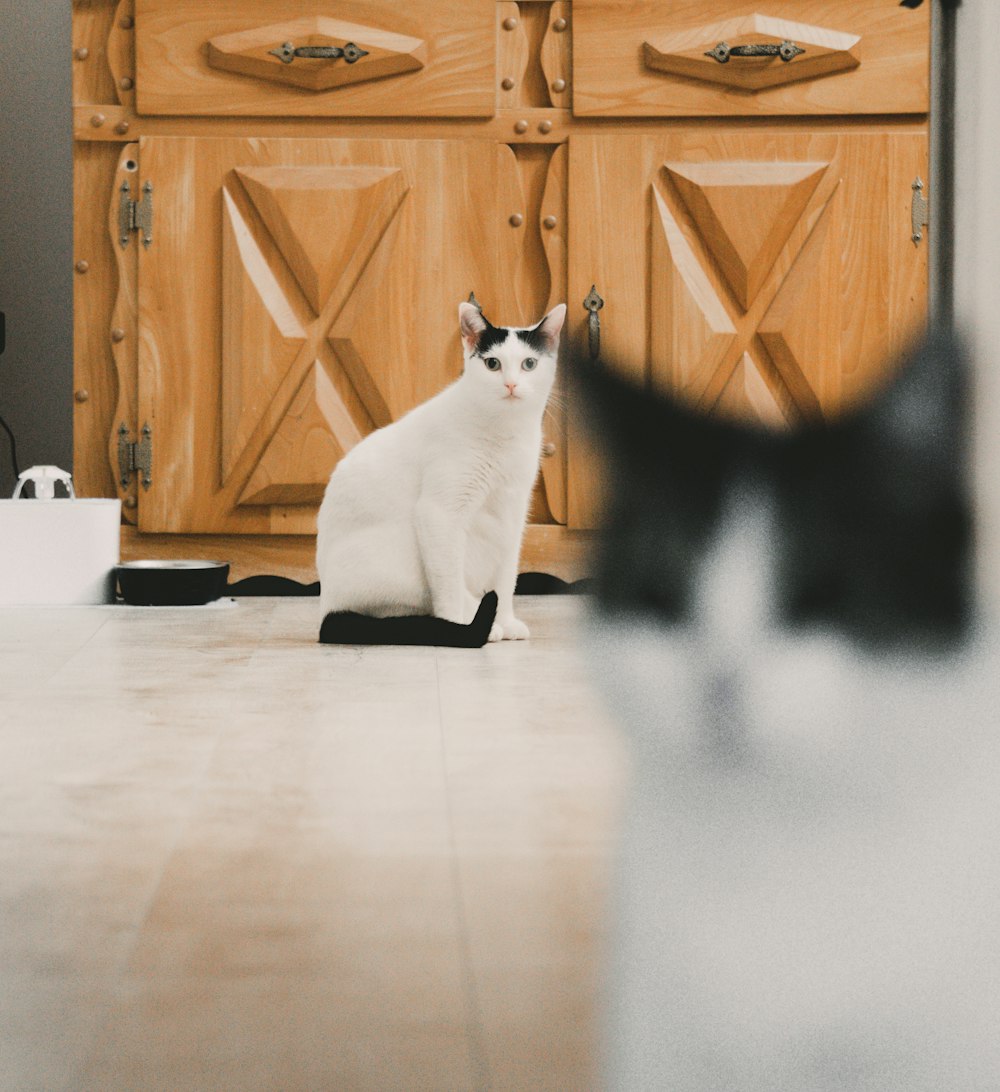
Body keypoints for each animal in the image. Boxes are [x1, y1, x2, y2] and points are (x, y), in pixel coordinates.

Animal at [316, 301, 567, 637]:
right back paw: (475, 622)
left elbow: (506, 580)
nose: (511, 384)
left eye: (529, 364)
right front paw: (459, 624)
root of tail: (326, 605)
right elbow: (449, 586)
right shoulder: (440, 513)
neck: (504, 432)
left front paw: (506, 620)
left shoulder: (513, 515)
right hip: (407, 554)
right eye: (492, 364)